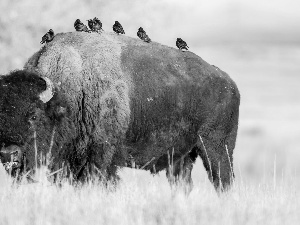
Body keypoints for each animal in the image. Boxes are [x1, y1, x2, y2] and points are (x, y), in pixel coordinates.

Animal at [0, 31, 239, 190]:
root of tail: (228, 82)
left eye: (33, 115)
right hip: (181, 157)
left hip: (216, 149)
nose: (8, 154)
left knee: (223, 181)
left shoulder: (101, 157)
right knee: (182, 183)